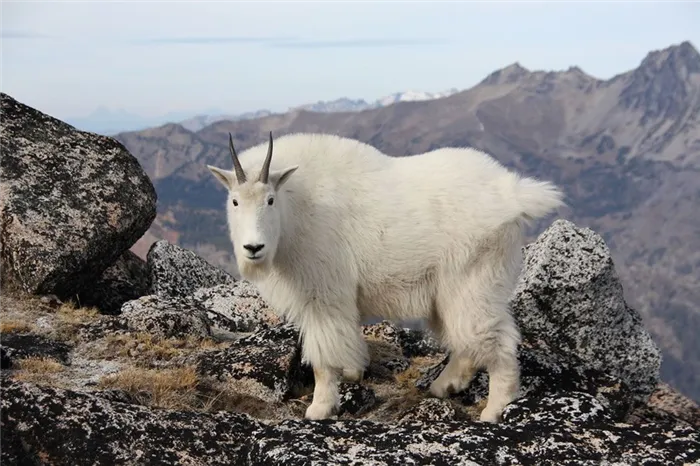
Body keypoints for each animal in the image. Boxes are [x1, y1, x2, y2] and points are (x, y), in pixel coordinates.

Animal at [206, 130, 564, 422]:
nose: (254, 248)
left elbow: (323, 358)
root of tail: (513, 193)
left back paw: (493, 410)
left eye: (270, 199)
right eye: (235, 201)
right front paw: (354, 373)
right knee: (466, 340)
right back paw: (443, 386)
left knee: (495, 340)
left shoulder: (323, 294)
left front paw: (320, 407)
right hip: (450, 291)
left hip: (474, 279)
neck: (295, 209)